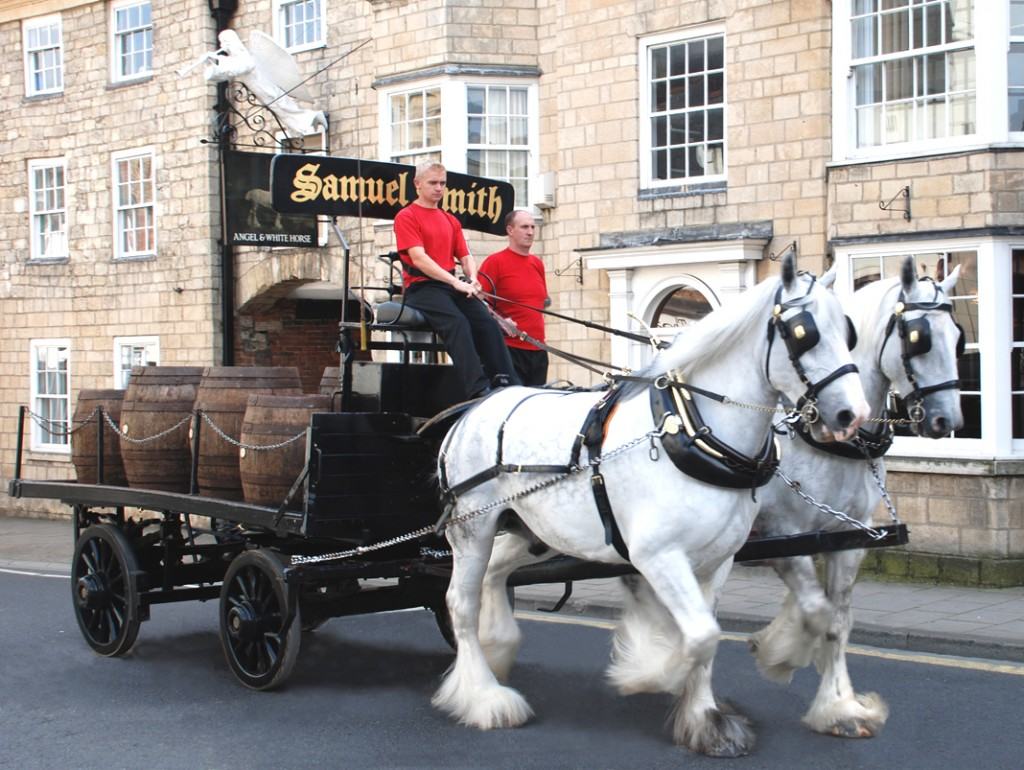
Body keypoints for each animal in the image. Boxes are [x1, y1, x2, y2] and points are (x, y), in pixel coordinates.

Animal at [434, 253, 872, 757]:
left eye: (849, 331)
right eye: (803, 332)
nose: (853, 415)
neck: (692, 432)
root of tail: (476, 407)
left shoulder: (716, 561)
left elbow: (709, 634)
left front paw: (705, 719)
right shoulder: (658, 556)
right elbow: (699, 636)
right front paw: (652, 670)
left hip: (531, 532)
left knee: (494, 575)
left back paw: (498, 651)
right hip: (473, 527)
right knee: (460, 603)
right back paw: (484, 696)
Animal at [598, 257, 958, 741]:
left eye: (958, 335)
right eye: (918, 338)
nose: (947, 420)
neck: (820, 442)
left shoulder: (850, 540)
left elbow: (838, 622)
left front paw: (840, 708)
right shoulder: (783, 537)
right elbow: (814, 611)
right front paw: (780, 653)